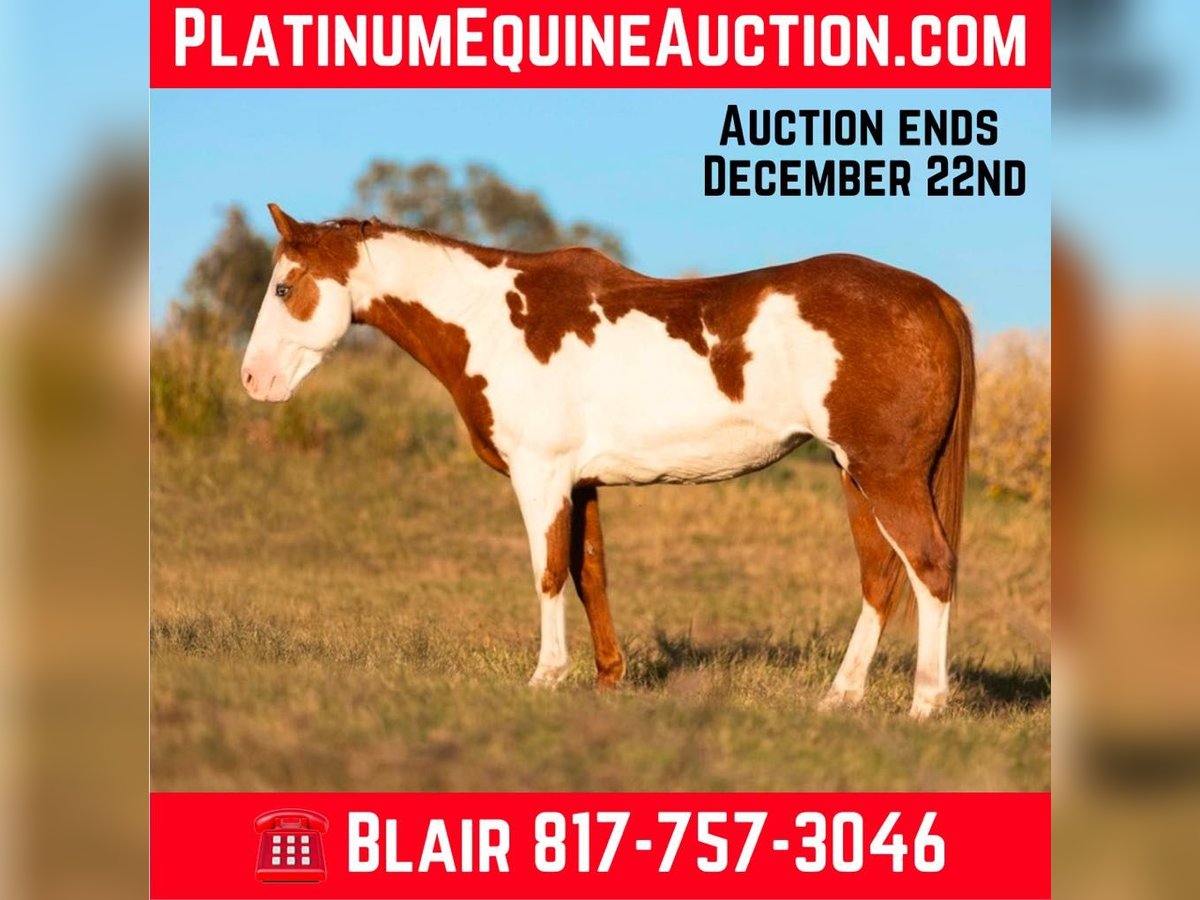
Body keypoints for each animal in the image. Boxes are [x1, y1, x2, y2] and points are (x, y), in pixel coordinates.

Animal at [241, 203, 974, 718]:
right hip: (856, 475)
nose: (253, 379)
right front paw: (606, 679)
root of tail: (933, 298)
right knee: (881, 578)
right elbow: (589, 573)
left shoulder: (541, 476)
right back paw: (841, 697)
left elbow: (546, 574)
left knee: (930, 567)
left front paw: (546, 677)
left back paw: (925, 704)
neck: (491, 320)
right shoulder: (583, 481)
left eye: (283, 288)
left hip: (886, 474)